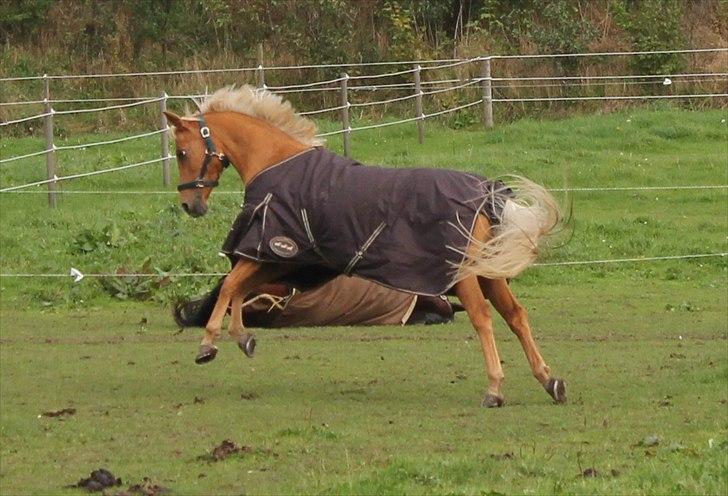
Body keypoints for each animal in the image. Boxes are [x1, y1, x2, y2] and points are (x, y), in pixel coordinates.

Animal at [164, 84, 564, 406]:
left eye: (182, 152)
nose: (189, 205)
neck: (276, 162)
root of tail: (486, 192)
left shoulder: (273, 249)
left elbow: (231, 285)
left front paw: (209, 345)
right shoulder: (282, 260)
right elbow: (239, 288)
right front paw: (242, 338)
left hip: (464, 274)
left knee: (483, 318)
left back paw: (494, 390)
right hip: (488, 272)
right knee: (516, 315)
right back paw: (550, 381)